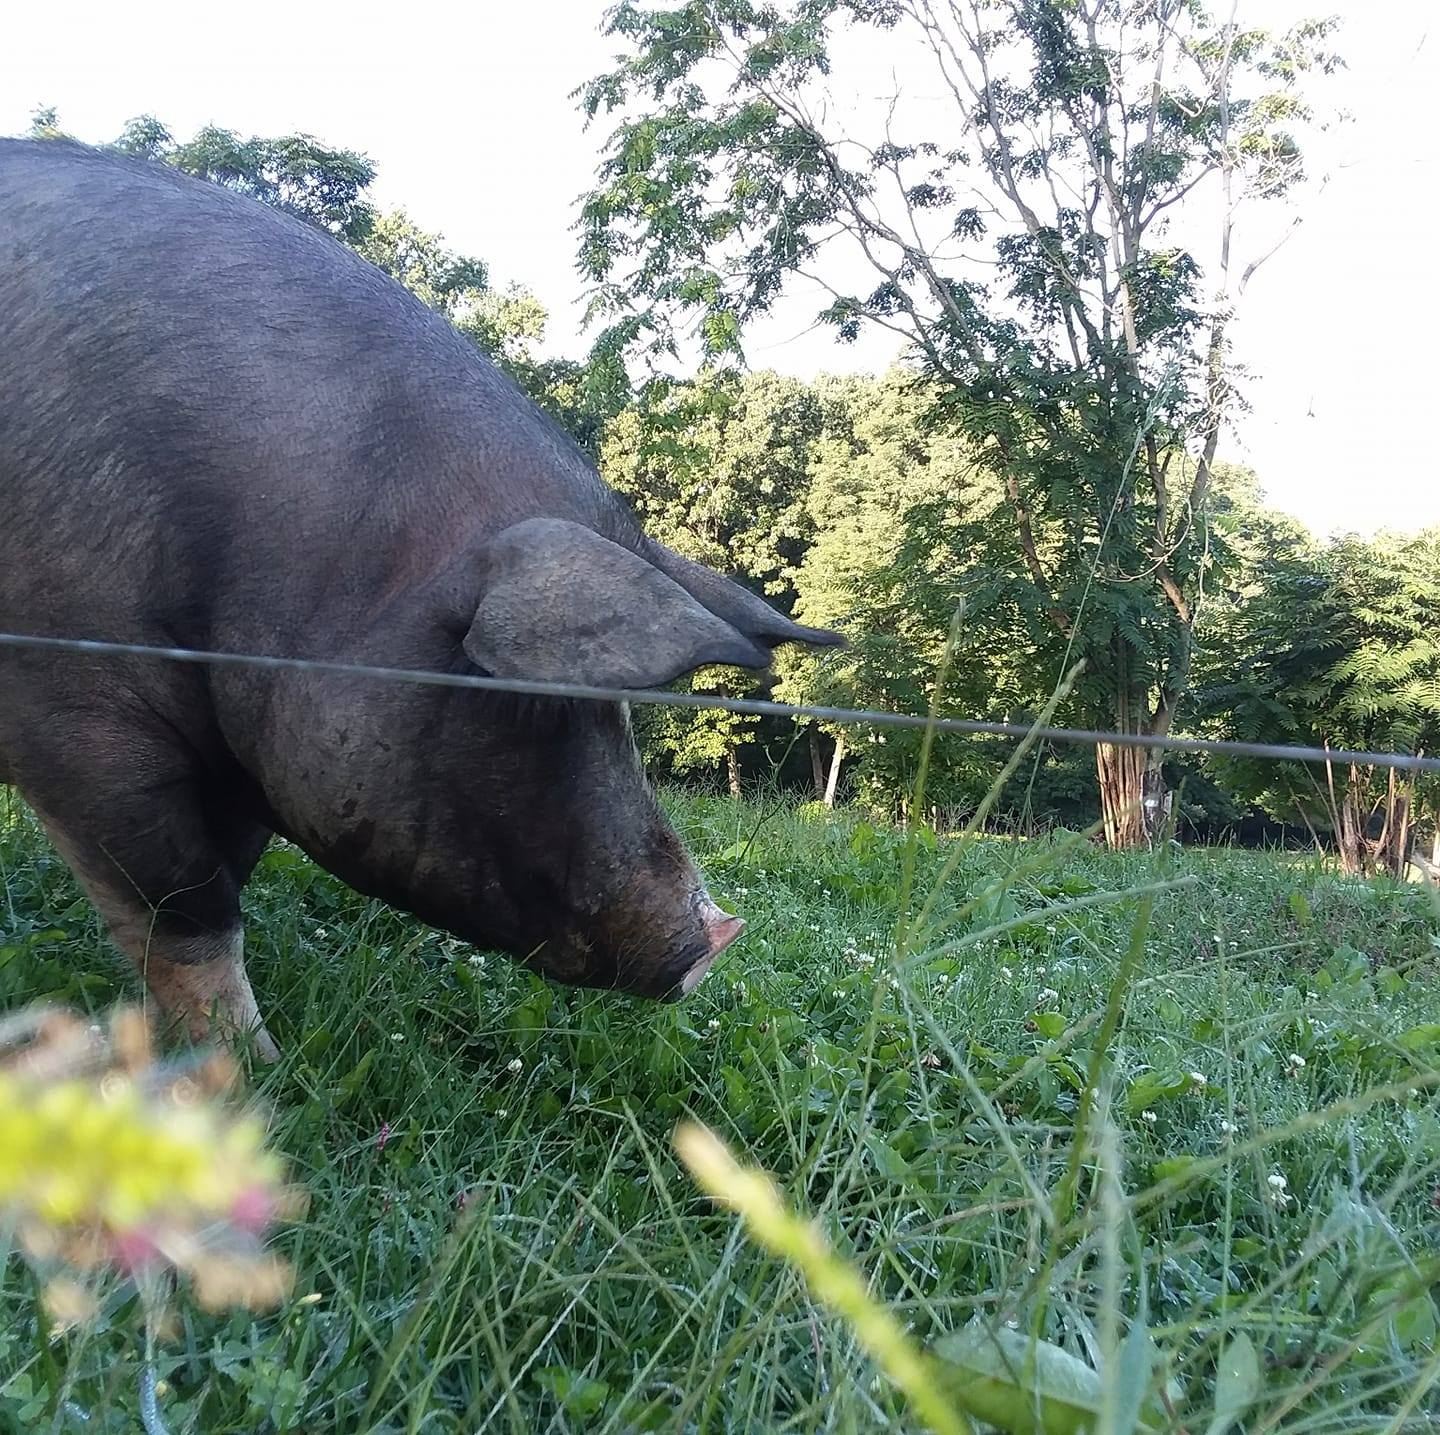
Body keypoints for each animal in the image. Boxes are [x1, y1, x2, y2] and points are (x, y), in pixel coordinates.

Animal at [0, 138, 841, 1059]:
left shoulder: (251, 749)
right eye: (537, 703)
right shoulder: (71, 707)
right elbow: (187, 909)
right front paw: (254, 1069)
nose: (721, 935)